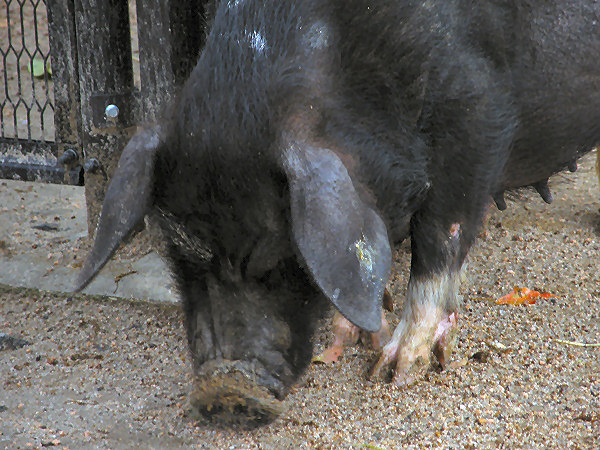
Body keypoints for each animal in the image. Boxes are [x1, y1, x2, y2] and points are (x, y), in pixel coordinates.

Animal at [76, 0, 600, 427]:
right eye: (182, 253)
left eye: (278, 258)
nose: (226, 385)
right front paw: (353, 341)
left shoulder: (480, 115)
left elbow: (440, 236)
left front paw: (392, 372)